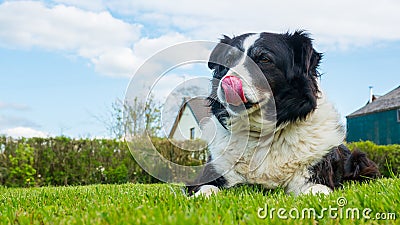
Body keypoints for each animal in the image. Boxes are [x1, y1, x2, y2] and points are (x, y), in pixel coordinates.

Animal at [186, 31, 380, 197]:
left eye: (264, 59)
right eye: (228, 60)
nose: (226, 82)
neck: (263, 134)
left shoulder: (315, 174)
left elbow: (317, 192)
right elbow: (206, 189)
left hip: (359, 158)